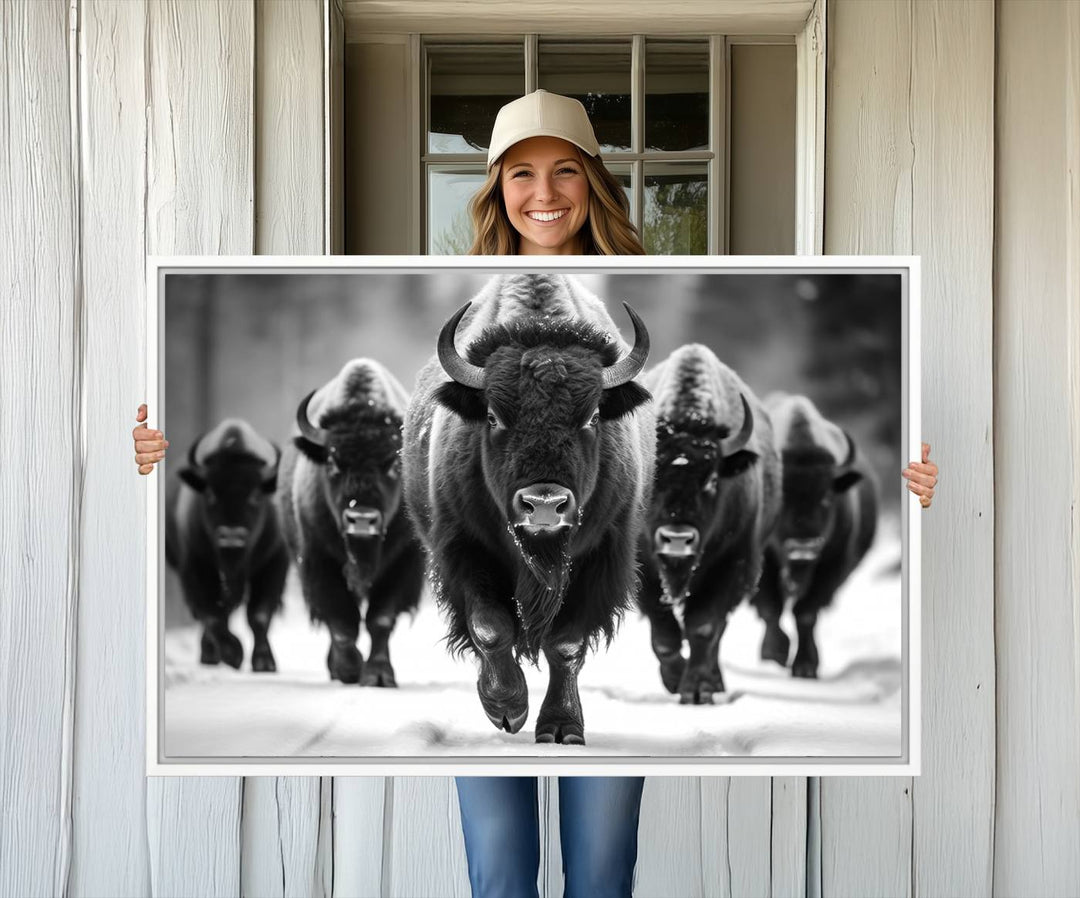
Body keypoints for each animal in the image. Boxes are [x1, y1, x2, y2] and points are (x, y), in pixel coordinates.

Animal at [166, 417, 289, 669]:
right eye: (210, 494)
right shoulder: (195, 567)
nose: (231, 536)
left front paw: (264, 663)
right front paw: (233, 653)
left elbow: (259, 615)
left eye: (255, 495)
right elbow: (213, 615)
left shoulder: (274, 563)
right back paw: (210, 655)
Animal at [278, 360, 425, 682]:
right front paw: (348, 670)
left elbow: (380, 619)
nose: (361, 519)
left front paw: (379, 675)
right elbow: (342, 622)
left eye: (393, 464)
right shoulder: (319, 561)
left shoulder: (403, 563)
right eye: (333, 463)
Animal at [403, 274, 648, 743]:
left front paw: (562, 727)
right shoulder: (464, 549)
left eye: (592, 417)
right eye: (494, 417)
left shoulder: (600, 557)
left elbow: (566, 644)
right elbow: (489, 627)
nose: (545, 505)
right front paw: (507, 708)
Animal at [635, 343, 781, 700]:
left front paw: (698, 689)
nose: (677, 538)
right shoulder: (645, 569)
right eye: (654, 476)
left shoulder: (730, 564)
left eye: (713, 479)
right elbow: (665, 635)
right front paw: (675, 680)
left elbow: (703, 627)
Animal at [751, 397, 876, 678]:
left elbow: (806, 614)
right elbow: (771, 607)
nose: (803, 548)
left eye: (826, 497)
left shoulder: (831, 566)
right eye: (782, 498)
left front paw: (806, 666)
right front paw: (774, 653)